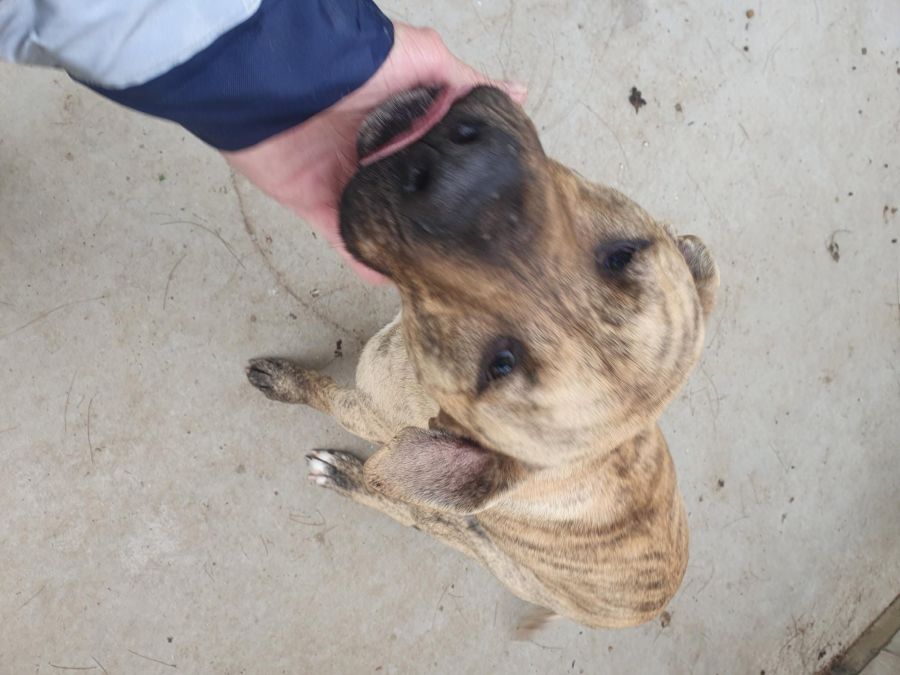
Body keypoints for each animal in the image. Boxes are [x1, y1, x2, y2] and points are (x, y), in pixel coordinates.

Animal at [246, 86, 719, 630]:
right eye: (621, 255)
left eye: (499, 364)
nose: (461, 181)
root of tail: (648, 607)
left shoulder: (368, 411)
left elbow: (324, 393)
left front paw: (287, 383)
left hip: (470, 535)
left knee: (408, 510)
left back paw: (343, 475)